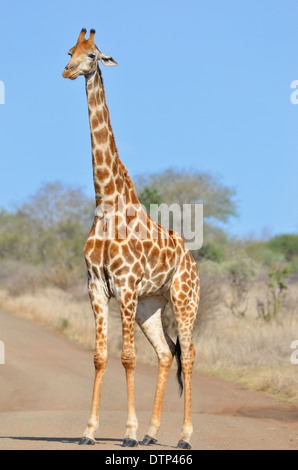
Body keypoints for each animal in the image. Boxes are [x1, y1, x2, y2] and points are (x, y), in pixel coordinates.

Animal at [61, 29, 199, 448]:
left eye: (93, 55)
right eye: (69, 51)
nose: (67, 71)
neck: (106, 201)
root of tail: (193, 261)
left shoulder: (123, 285)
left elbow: (127, 358)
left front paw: (129, 432)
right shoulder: (96, 284)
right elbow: (100, 356)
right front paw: (89, 432)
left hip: (184, 301)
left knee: (188, 354)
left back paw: (184, 435)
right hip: (149, 307)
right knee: (167, 354)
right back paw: (154, 433)